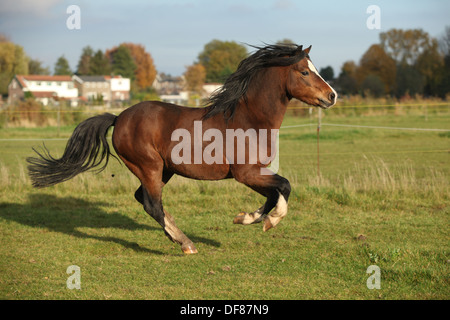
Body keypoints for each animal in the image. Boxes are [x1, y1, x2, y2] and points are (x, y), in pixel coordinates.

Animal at [26, 44, 336, 255]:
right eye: (305, 71)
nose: (331, 96)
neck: (249, 119)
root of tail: (119, 117)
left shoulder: (256, 172)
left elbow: (274, 193)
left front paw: (244, 217)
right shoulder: (246, 173)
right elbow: (284, 187)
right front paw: (270, 221)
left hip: (164, 170)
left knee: (144, 199)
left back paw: (177, 236)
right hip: (149, 167)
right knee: (152, 203)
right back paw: (186, 243)